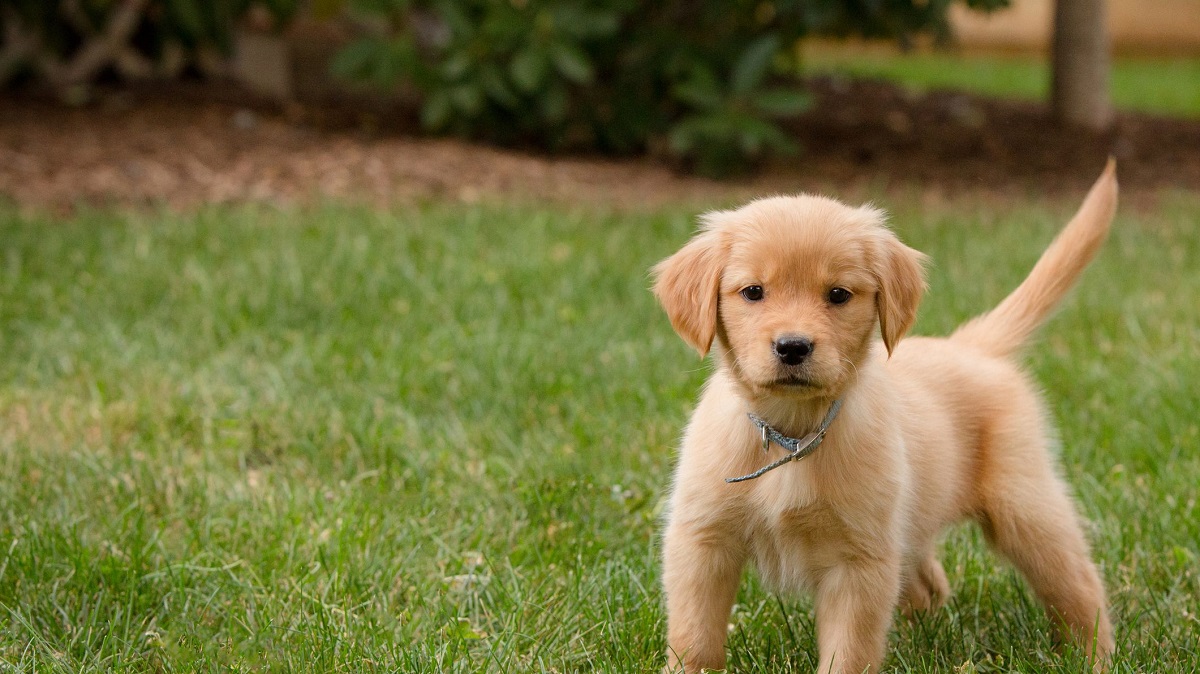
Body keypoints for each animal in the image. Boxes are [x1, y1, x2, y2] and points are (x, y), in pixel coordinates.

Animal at [657, 164, 1113, 671]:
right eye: (753, 292)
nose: (793, 347)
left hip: (1024, 505)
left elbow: (848, 652)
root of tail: (972, 345)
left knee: (1078, 584)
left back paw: (1094, 655)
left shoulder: (860, 561)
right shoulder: (702, 540)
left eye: (838, 295)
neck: (792, 435)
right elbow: (695, 635)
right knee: (930, 585)